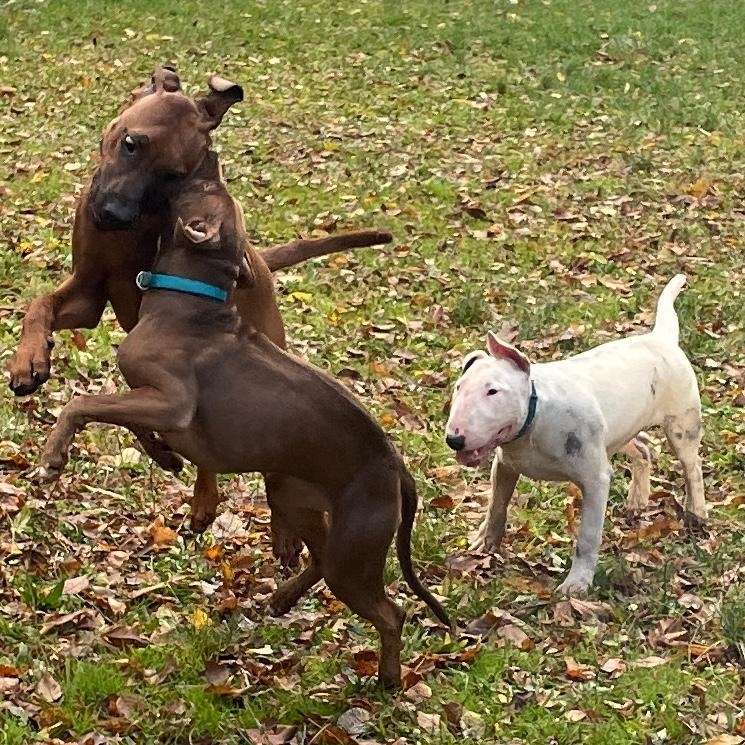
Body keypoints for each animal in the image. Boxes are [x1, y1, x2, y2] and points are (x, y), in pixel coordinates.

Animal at [8, 65, 392, 540]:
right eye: (131, 144)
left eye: (173, 175)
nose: (115, 215)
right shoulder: (88, 293)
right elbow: (39, 305)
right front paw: (28, 361)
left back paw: (225, 505)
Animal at [39, 154, 454, 684]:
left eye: (205, 187)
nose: (211, 161)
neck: (191, 297)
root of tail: (396, 466)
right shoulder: (152, 400)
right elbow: (127, 418)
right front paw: (164, 455)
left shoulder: (173, 401)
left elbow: (87, 403)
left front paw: (55, 453)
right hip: (294, 498)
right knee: (318, 561)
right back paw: (284, 597)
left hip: (353, 549)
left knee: (389, 612)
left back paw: (387, 679)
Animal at [444, 276, 708, 596]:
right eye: (459, 387)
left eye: (493, 391)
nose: (454, 439)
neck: (534, 417)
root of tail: (661, 338)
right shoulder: (505, 465)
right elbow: (497, 505)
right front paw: (484, 544)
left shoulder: (595, 478)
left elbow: (588, 537)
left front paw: (576, 584)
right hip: (618, 432)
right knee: (644, 449)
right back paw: (637, 500)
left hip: (682, 424)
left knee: (692, 467)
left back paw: (697, 513)